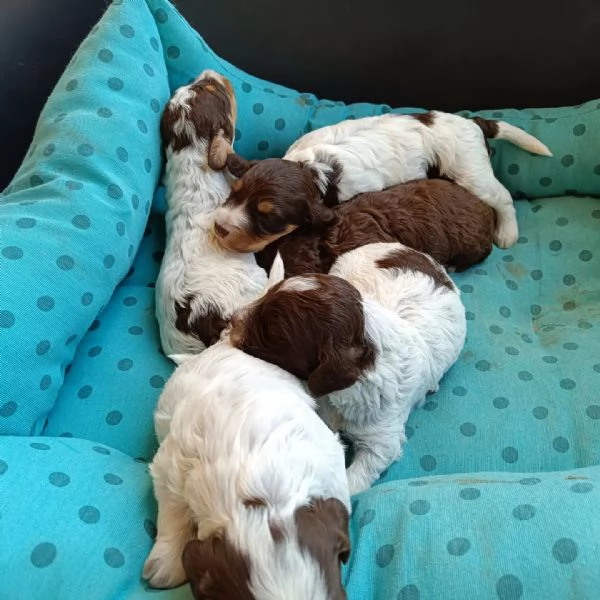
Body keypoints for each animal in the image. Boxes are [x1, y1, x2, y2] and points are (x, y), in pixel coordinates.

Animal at [213, 111, 552, 250]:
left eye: (268, 218)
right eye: (233, 194)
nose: (218, 228)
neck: (310, 169)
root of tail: (474, 123)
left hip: (471, 172)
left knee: (503, 197)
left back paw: (507, 233)